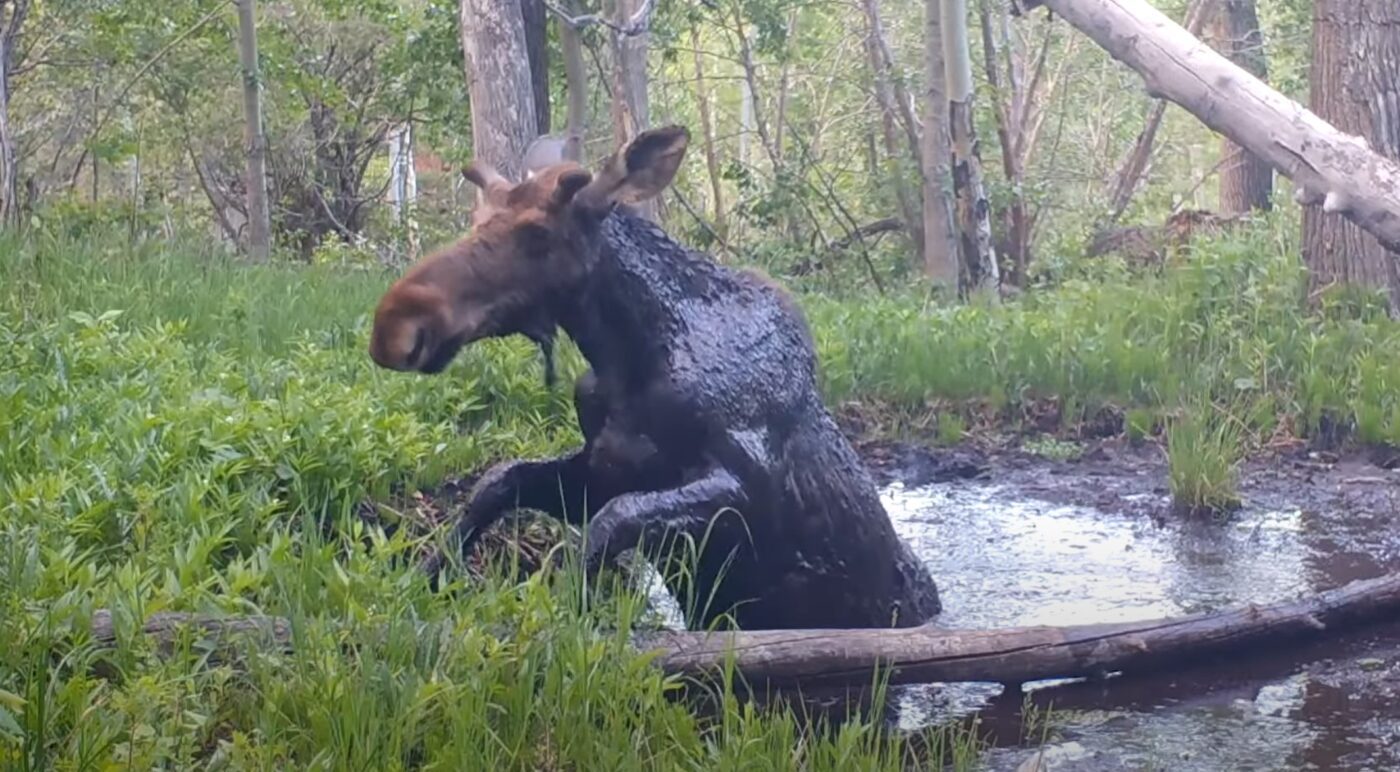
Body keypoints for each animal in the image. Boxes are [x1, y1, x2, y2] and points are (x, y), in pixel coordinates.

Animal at [369, 126, 942, 631]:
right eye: (477, 215)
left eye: (537, 232)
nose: (394, 326)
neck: (628, 357)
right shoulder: (602, 469)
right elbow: (499, 480)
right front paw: (421, 576)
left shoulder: (745, 486)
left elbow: (613, 521)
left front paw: (558, 614)